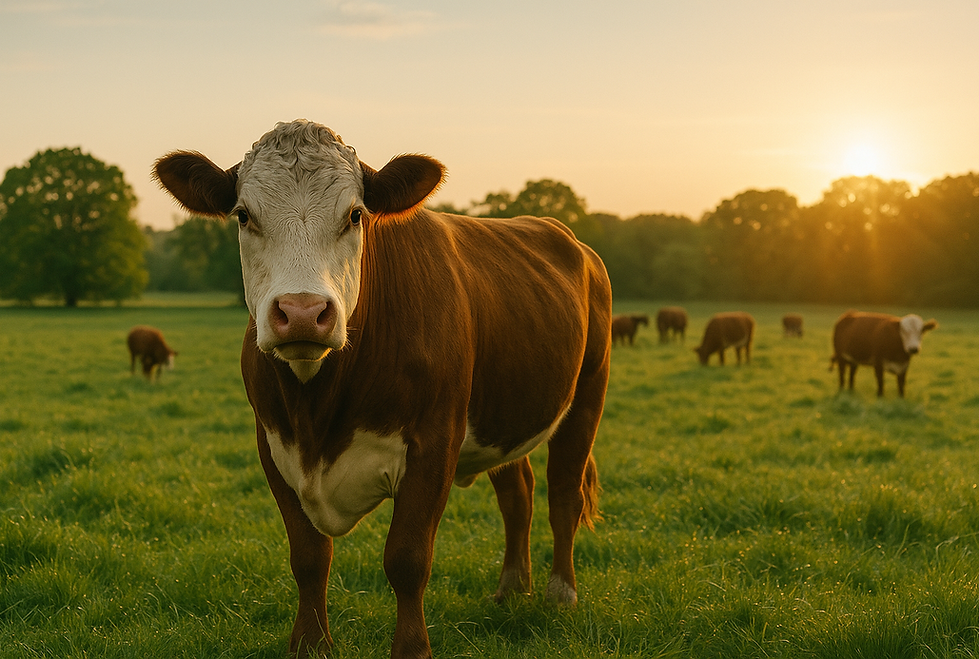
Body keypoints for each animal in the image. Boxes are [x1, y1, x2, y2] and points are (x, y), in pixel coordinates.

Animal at [152, 119, 612, 659]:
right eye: (244, 215)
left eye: (355, 215)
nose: (302, 312)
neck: (316, 413)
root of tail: (568, 239)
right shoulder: (273, 444)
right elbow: (308, 557)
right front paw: (311, 644)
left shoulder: (435, 442)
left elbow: (407, 559)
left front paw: (411, 649)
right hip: (504, 411)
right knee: (518, 493)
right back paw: (511, 588)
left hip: (588, 394)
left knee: (564, 493)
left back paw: (561, 593)